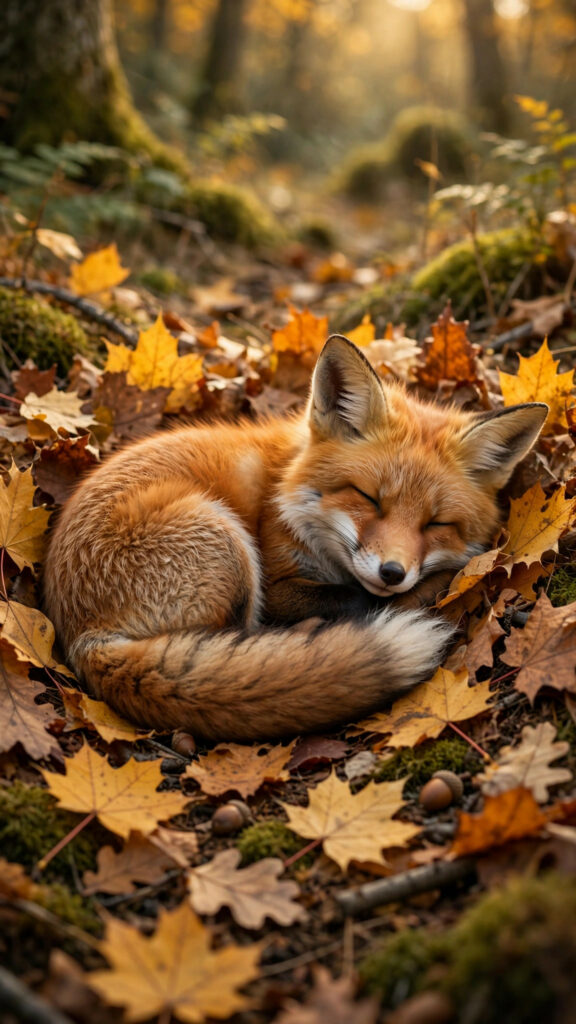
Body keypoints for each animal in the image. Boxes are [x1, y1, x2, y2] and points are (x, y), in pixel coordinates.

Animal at [43, 335, 547, 742]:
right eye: (368, 497)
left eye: (436, 523)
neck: (287, 490)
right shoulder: (278, 584)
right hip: (228, 544)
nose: (392, 572)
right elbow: (353, 597)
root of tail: (83, 638)